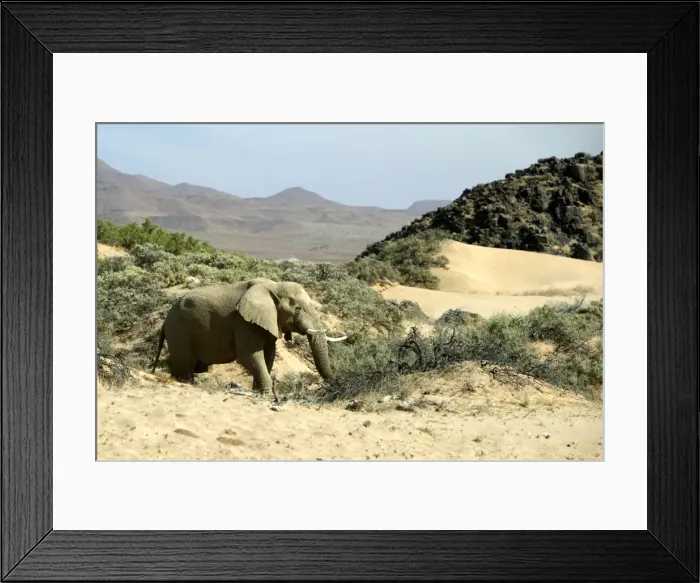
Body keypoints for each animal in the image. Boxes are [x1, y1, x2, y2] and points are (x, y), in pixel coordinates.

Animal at [151, 278, 347, 401]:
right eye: (298, 309)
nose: (333, 387)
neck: (274, 286)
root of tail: (165, 321)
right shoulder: (243, 322)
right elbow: (249, 356)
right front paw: (267, 396)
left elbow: (268, 356)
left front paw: (258, 392)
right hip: (180, 333)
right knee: (185, 367)